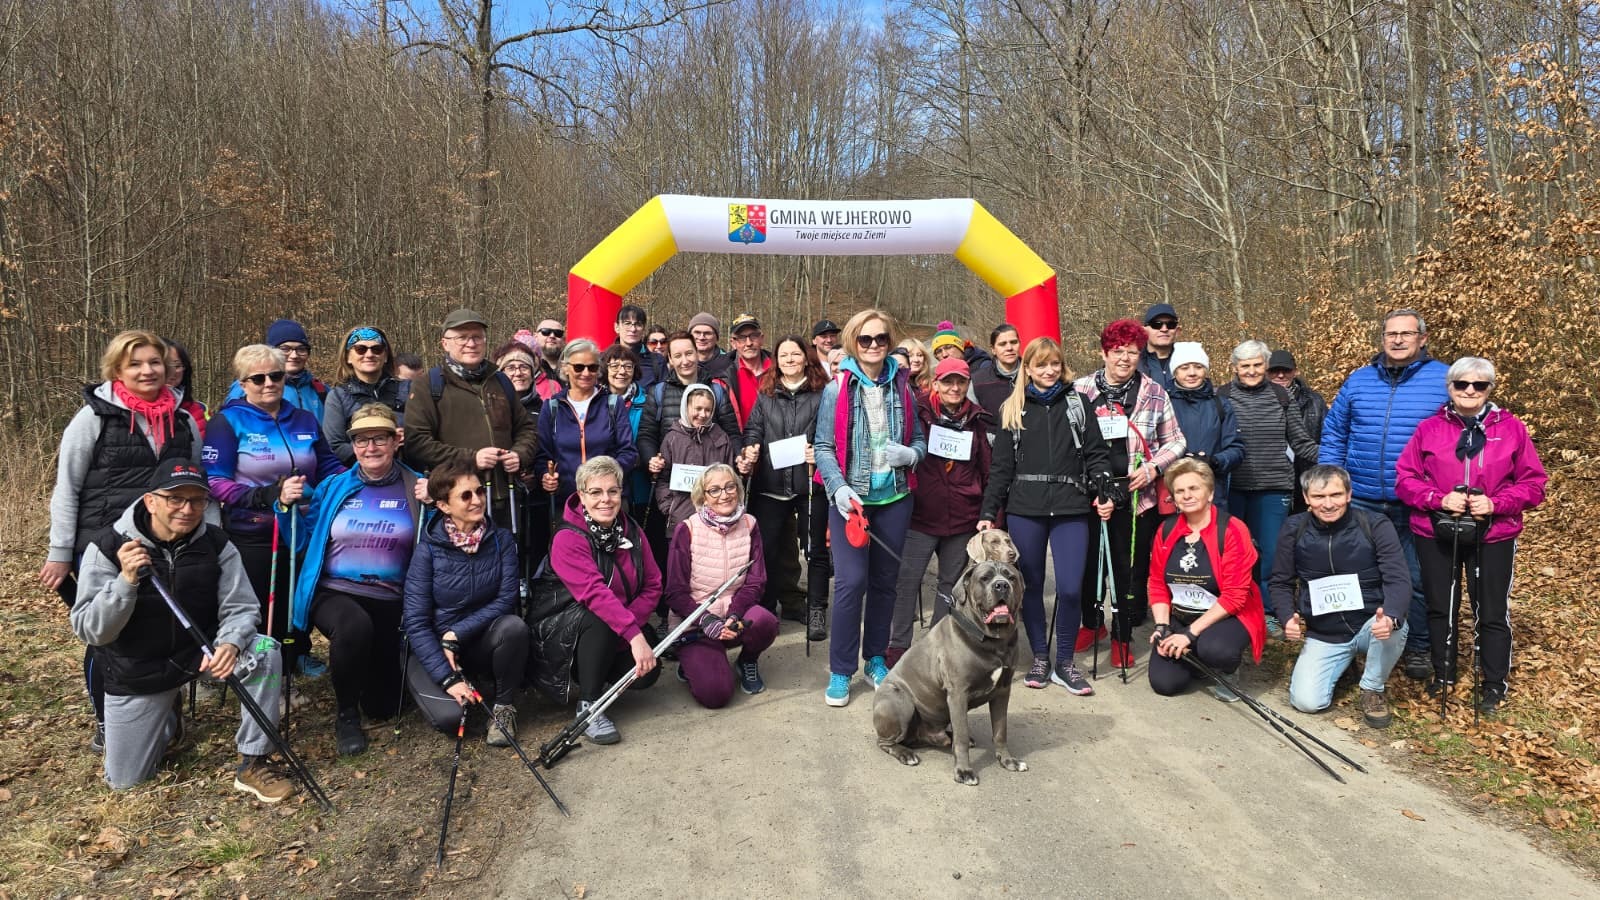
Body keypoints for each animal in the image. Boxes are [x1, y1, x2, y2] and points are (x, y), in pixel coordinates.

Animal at [873, 534, 1028, 786]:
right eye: (985, 578)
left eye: (1010, 577)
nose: (1001, 585)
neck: (992, 640)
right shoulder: (958, 693)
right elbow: (962, 737)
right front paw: (964, 771)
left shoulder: (1003, 691)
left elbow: (1000, 730)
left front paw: (1008, 760)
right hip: (900, 701)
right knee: (886, 742)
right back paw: (906, 753)